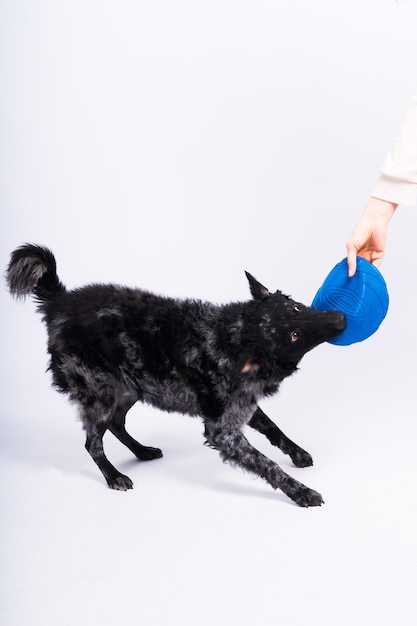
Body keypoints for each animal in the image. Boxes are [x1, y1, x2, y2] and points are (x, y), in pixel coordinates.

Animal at [5, 241, 344, 504]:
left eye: (296, 308)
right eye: (294, 336)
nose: (340, 318)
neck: (230, 337)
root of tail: (59, 302)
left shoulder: (241, 404)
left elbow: (273, 428)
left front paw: (296, 453)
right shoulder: (222, 431)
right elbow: (266, 464)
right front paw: (300, 491)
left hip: (131, 386)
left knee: (116, 423)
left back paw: (141, 451)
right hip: (99, 393)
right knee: (93, 442)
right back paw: (114, 475)